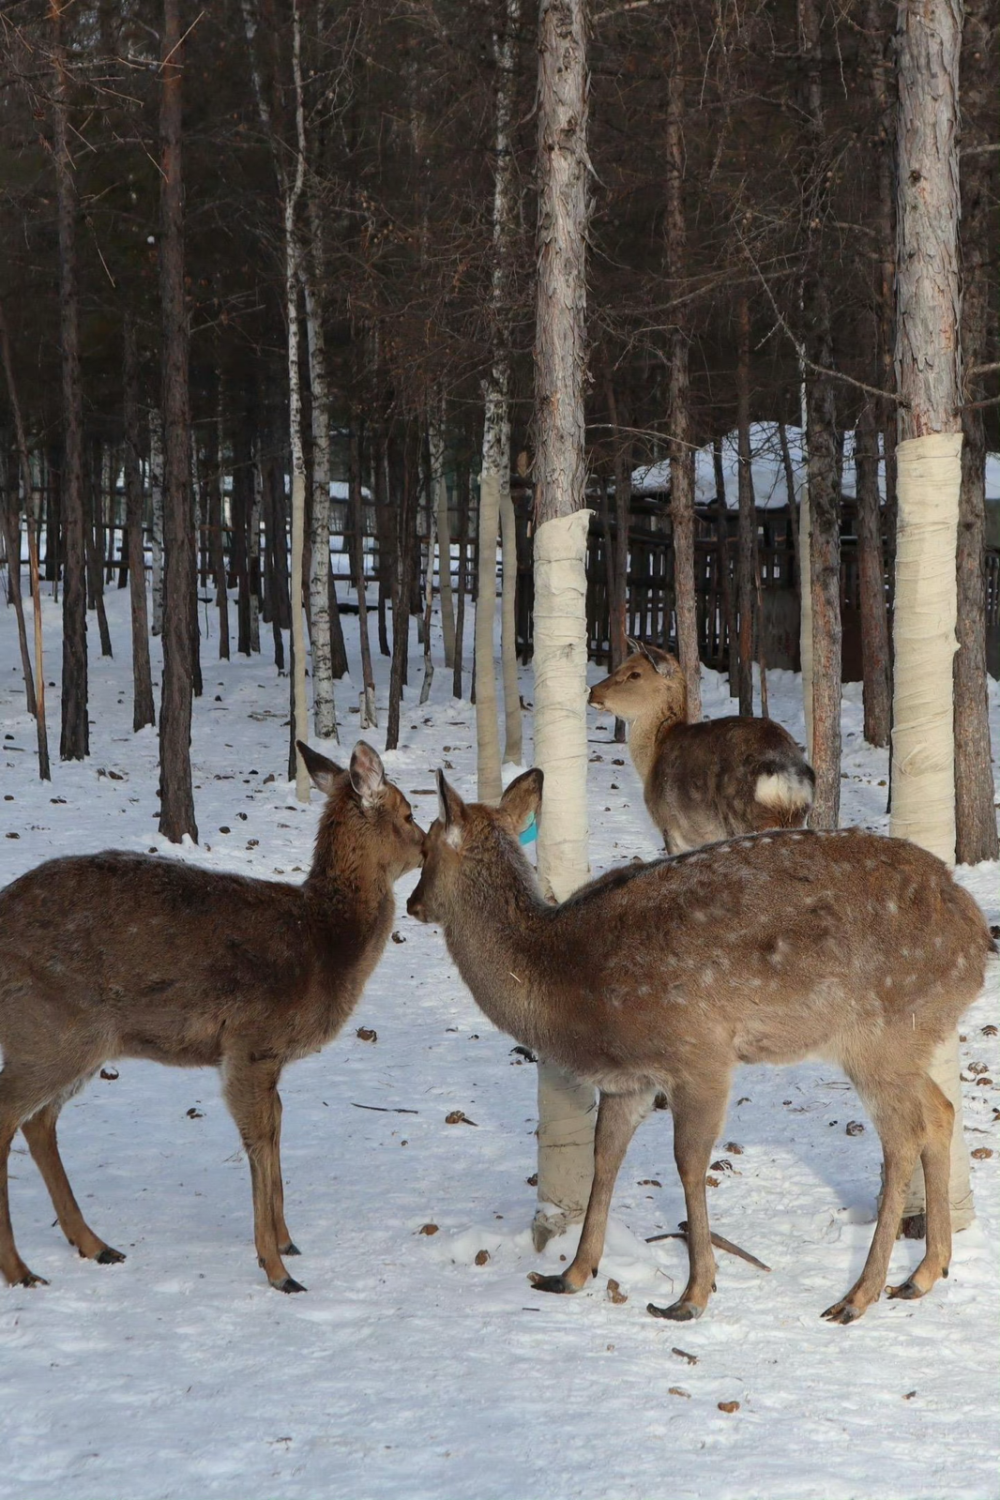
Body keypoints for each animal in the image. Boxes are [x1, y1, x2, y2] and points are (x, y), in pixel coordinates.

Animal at [0, 738, 425, 1290]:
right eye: (409, 812)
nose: (428, 845)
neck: (324, 945)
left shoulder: (267, 1058)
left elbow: (277, 1126)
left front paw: (286, 1239)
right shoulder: (252, 1041)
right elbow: (259, 1139)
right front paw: (277, 1268)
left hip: (71, 1040)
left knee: (39, 1120)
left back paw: (95, 1245)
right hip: (49, 1027)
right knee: (12, 1115)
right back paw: (20, 1269)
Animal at [407, 774, 995, 1326]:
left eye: (427, 844)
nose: (412, 903)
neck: (563, 984)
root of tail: (976, 938)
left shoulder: (699, 1053)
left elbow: (688, 1163)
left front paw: (691, 1296)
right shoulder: (628, 1081)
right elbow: (605, 1157)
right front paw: (572, 1272)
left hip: (880, 1035)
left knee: (903, 1136)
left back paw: (858, 1295)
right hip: (911, 1038)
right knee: (940, 1111)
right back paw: (923, 1273)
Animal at [590, 639, 815, 858]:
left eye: (635, 674)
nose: (592, 691)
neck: (653, 756)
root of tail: (787, 777)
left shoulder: (670, 827)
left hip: (745, 820)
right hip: (794, 818)